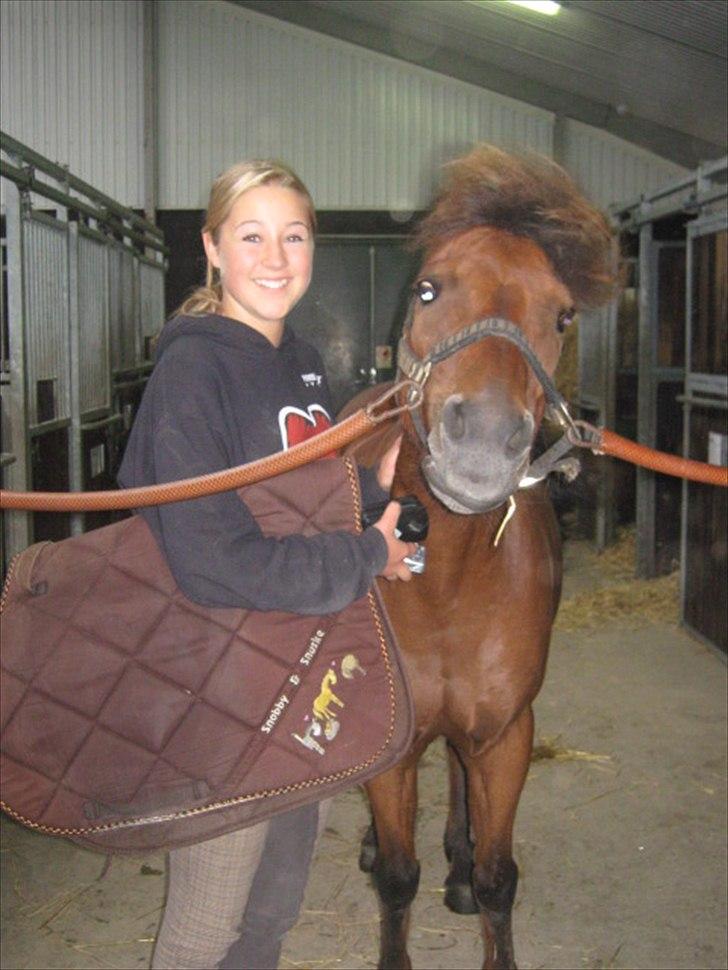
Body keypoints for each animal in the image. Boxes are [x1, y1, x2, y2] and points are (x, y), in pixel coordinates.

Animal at [342, 146, 616, 968]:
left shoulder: (505, 735)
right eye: (428, 287)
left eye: (562, 315)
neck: (448, 583)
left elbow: (500, 878)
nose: (484, 443)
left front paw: (472, 878)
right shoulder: (395, 748)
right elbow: (398, 879)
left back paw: (457, 866)